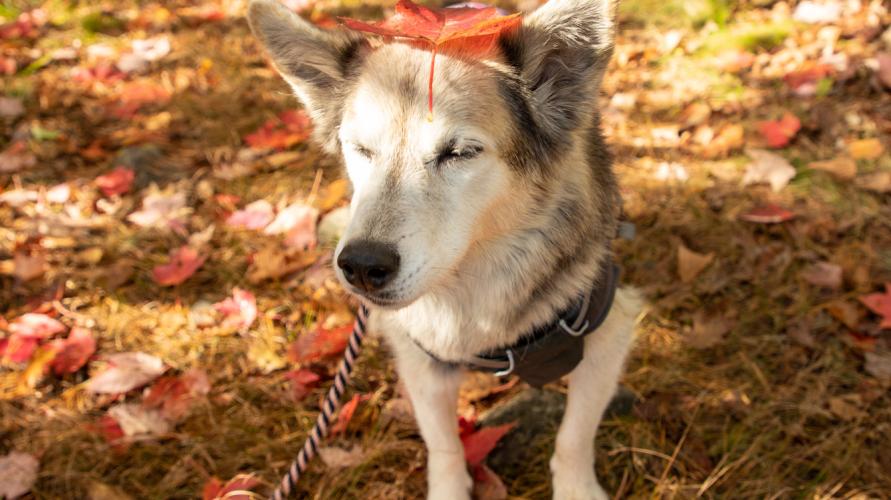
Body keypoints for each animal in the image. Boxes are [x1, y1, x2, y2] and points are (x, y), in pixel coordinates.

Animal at [247, 1, 644, 498]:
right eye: (361, 149)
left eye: (459, 153)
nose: (361, 266)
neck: (473, 301)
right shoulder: (421, 360)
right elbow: (444, 446)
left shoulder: (609, 333)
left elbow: (573, 436)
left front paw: (576, 489)